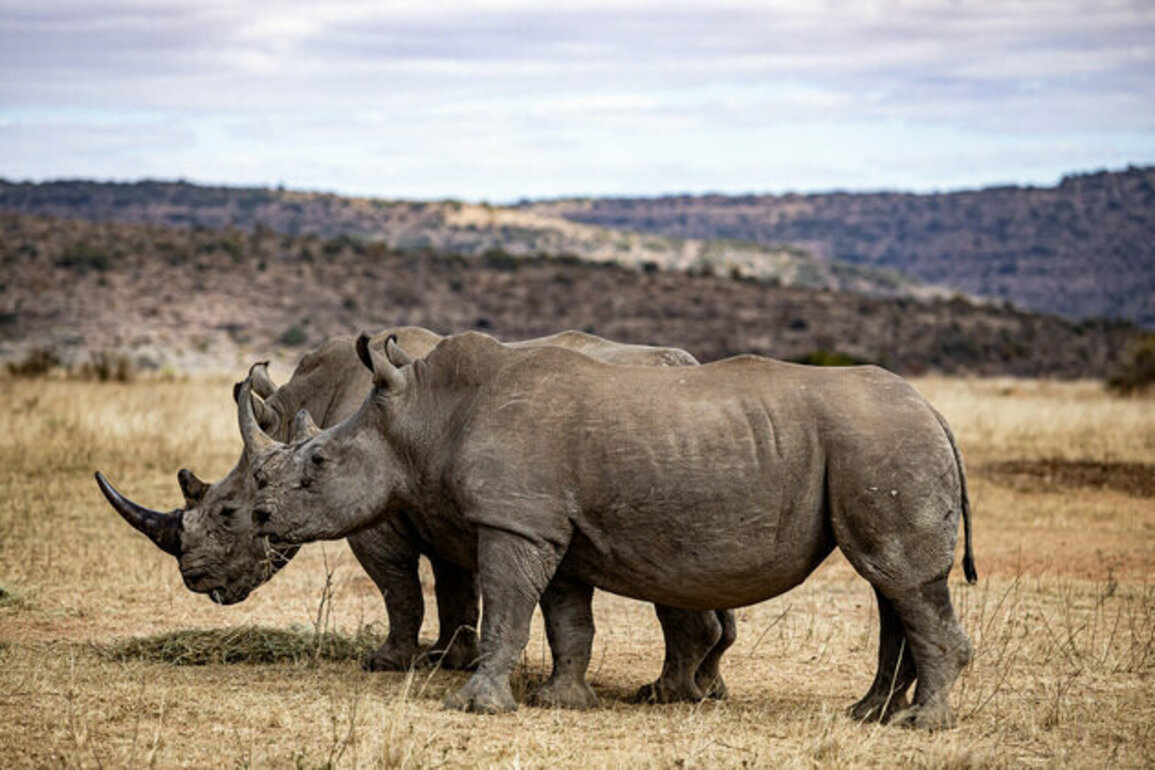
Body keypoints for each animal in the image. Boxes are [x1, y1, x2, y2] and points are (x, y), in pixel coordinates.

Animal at [96, 327, 735, 702]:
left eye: (228, 511)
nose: (195, 579)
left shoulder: (378, 517)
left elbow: (400, 590)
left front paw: (387, 663)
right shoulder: (441, 507)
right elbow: (455, 586)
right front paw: (447, 659)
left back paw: (670, 692)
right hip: (689, 447)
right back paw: (706, 688)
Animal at [243, 331, 977, 728]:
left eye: (319, 461)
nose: (260, 516)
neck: (425, 415)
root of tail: (936, 412)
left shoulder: (514, 523)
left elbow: (505, 609)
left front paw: (473, 706)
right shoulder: (549, 529)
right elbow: (567, 621)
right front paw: (561, 702)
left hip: (883, 442)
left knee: (900, 580)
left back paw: (919, 724)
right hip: (879, 442)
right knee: (889, 583)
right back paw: (869, 714)